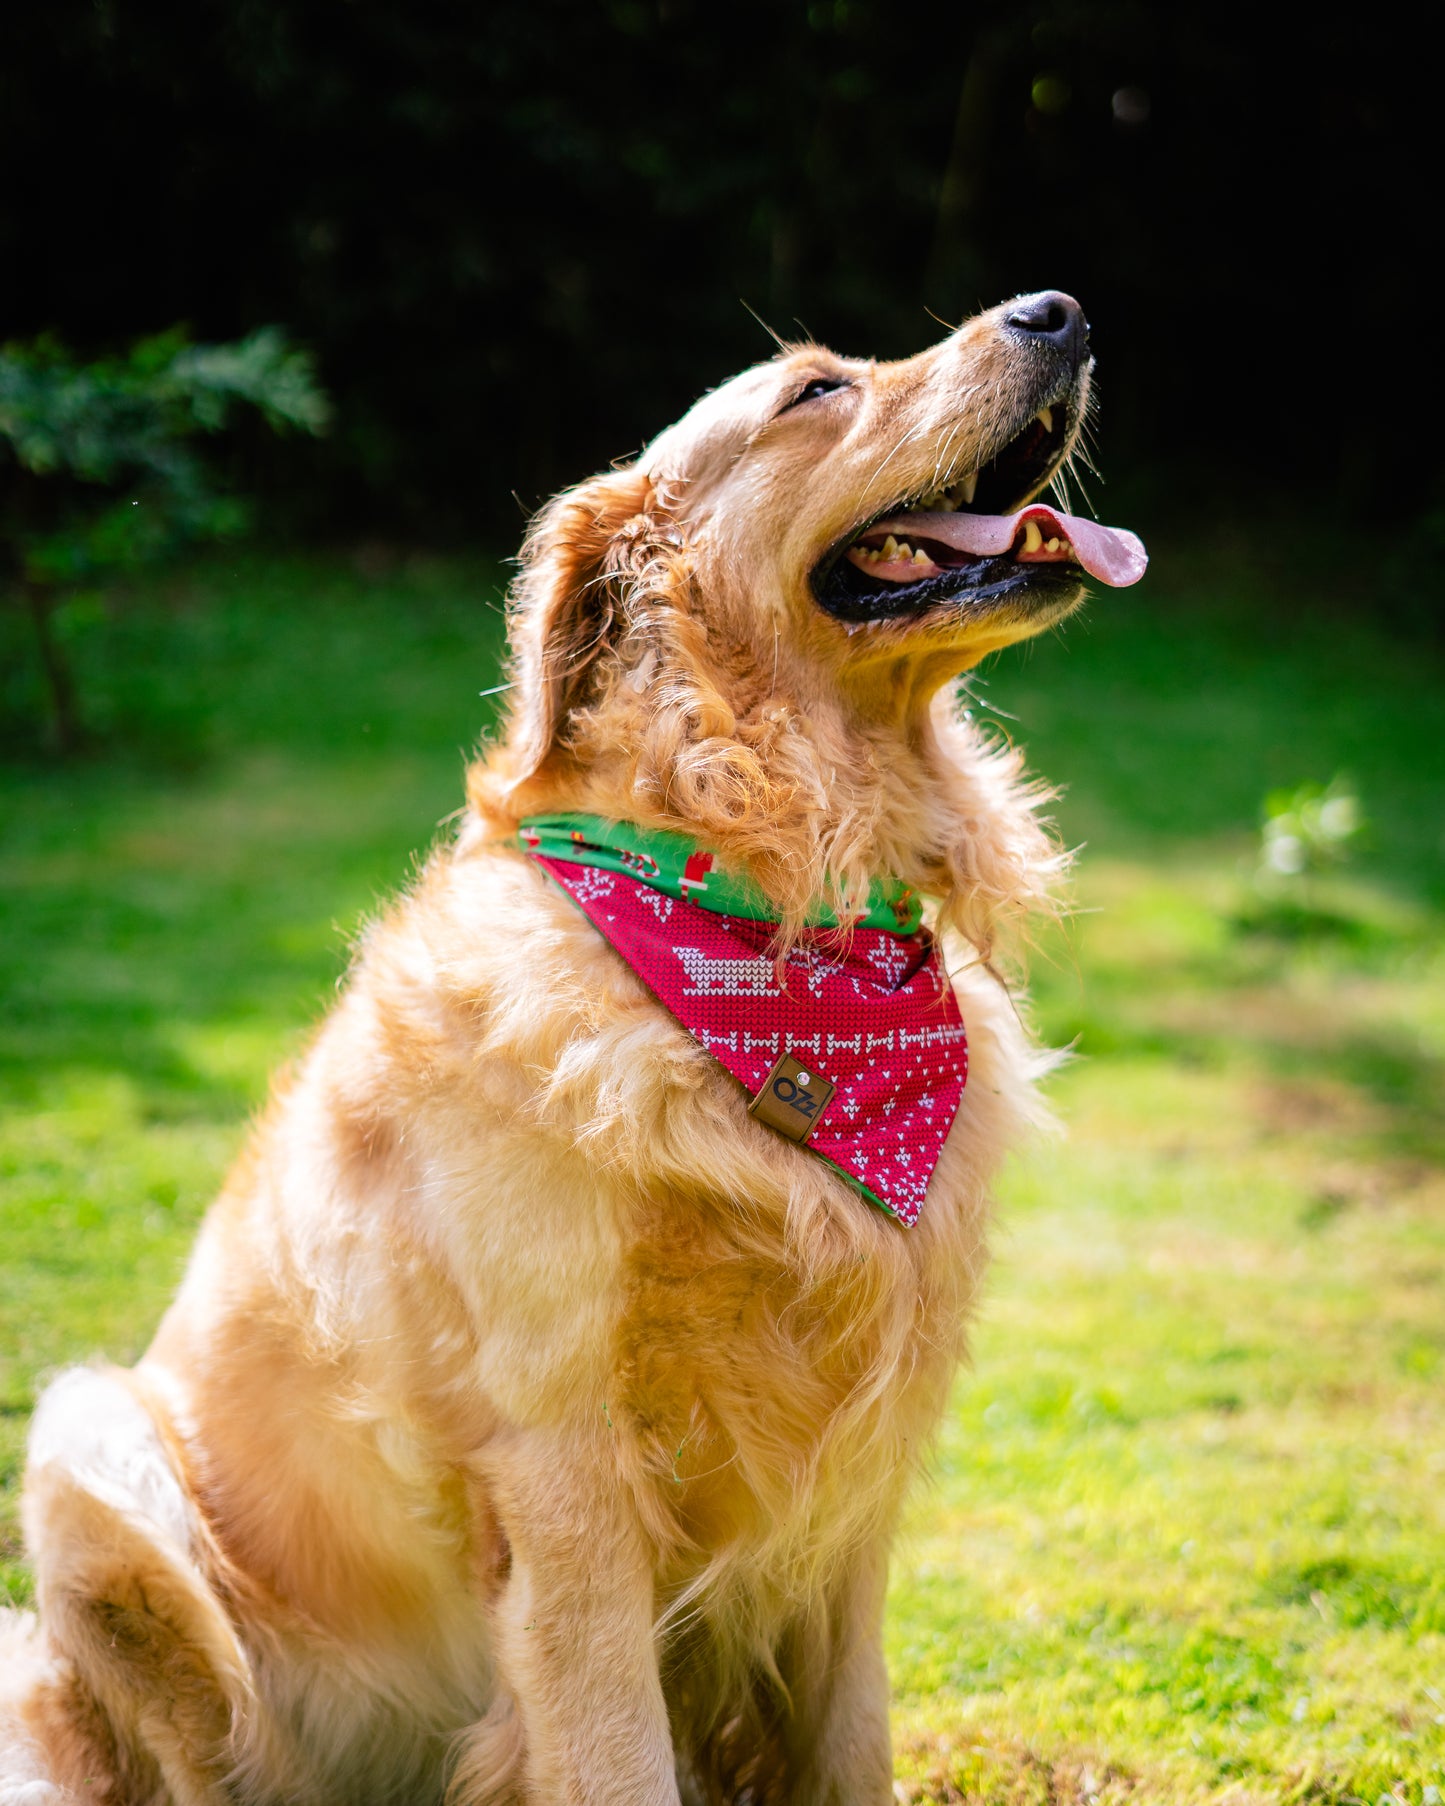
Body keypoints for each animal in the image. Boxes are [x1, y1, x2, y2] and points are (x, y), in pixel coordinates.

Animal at [5, 288, 1148, 1798]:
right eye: (814, 392)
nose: (1056, 310)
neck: (772, 910)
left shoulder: (846, 1510)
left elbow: (850, 1748)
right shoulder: (563, 1481)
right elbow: (615, 1756)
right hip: (91, 1445)